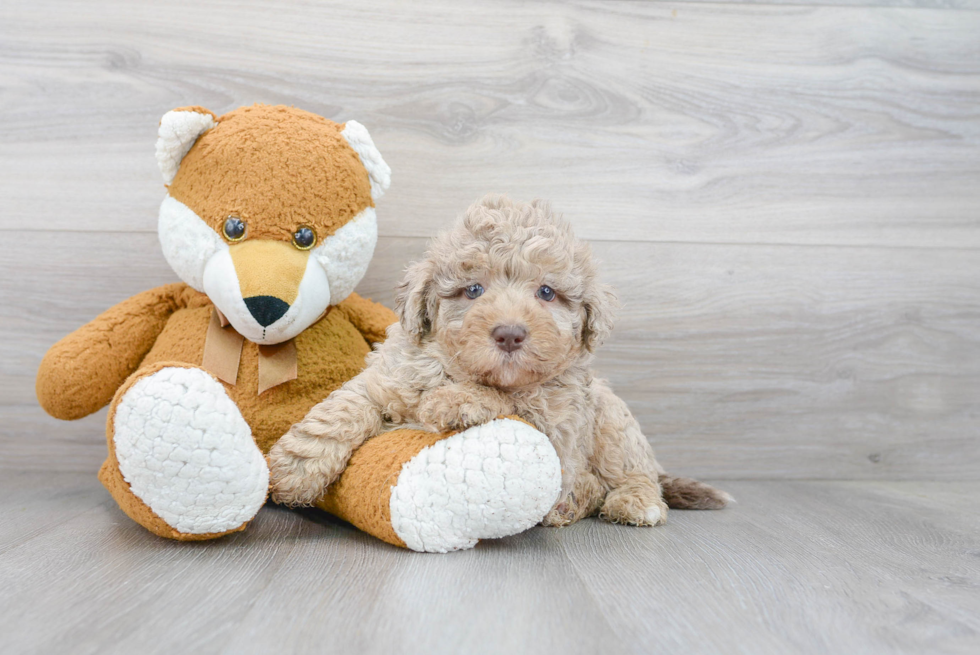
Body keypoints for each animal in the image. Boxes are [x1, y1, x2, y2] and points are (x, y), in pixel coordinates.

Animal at [268, 195, 728, 528]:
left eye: (546, 292)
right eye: (473, 289)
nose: (509, 334)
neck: (457, 367)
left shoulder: (557, 420)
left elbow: (513, 399)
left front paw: (456, 400)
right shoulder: (389, 374)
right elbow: (345, 407)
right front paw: (296, 469)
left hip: (613, 421)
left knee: (623, 476)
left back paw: (628, 502)